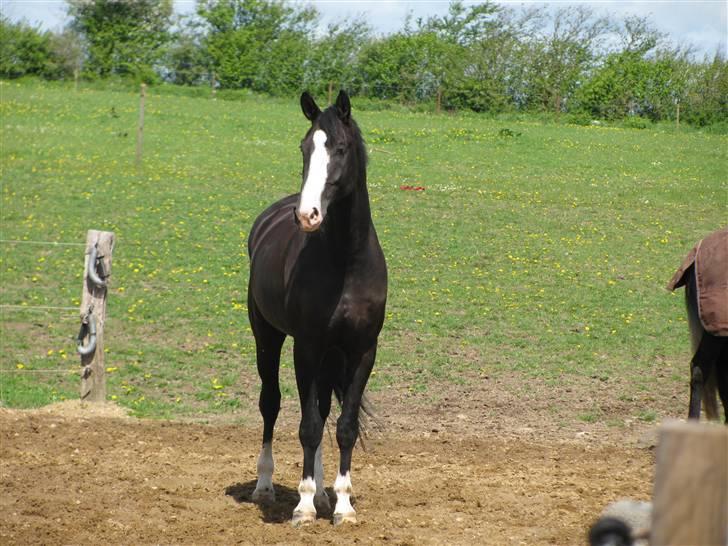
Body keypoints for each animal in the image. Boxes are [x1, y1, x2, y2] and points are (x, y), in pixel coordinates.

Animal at [246, 90, 386, 524]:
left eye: (340, 148)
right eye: (304, 147)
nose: (307, 215)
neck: (347, 262)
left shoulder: (361, 350)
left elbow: (343, 426)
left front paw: (341, 504)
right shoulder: (306, 347)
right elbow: (307, 425)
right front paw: (304, 505)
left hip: (329, 355)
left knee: (324, 410)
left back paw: (325, 494)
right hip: (267, 337)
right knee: (270, 404)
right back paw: (265, 485)